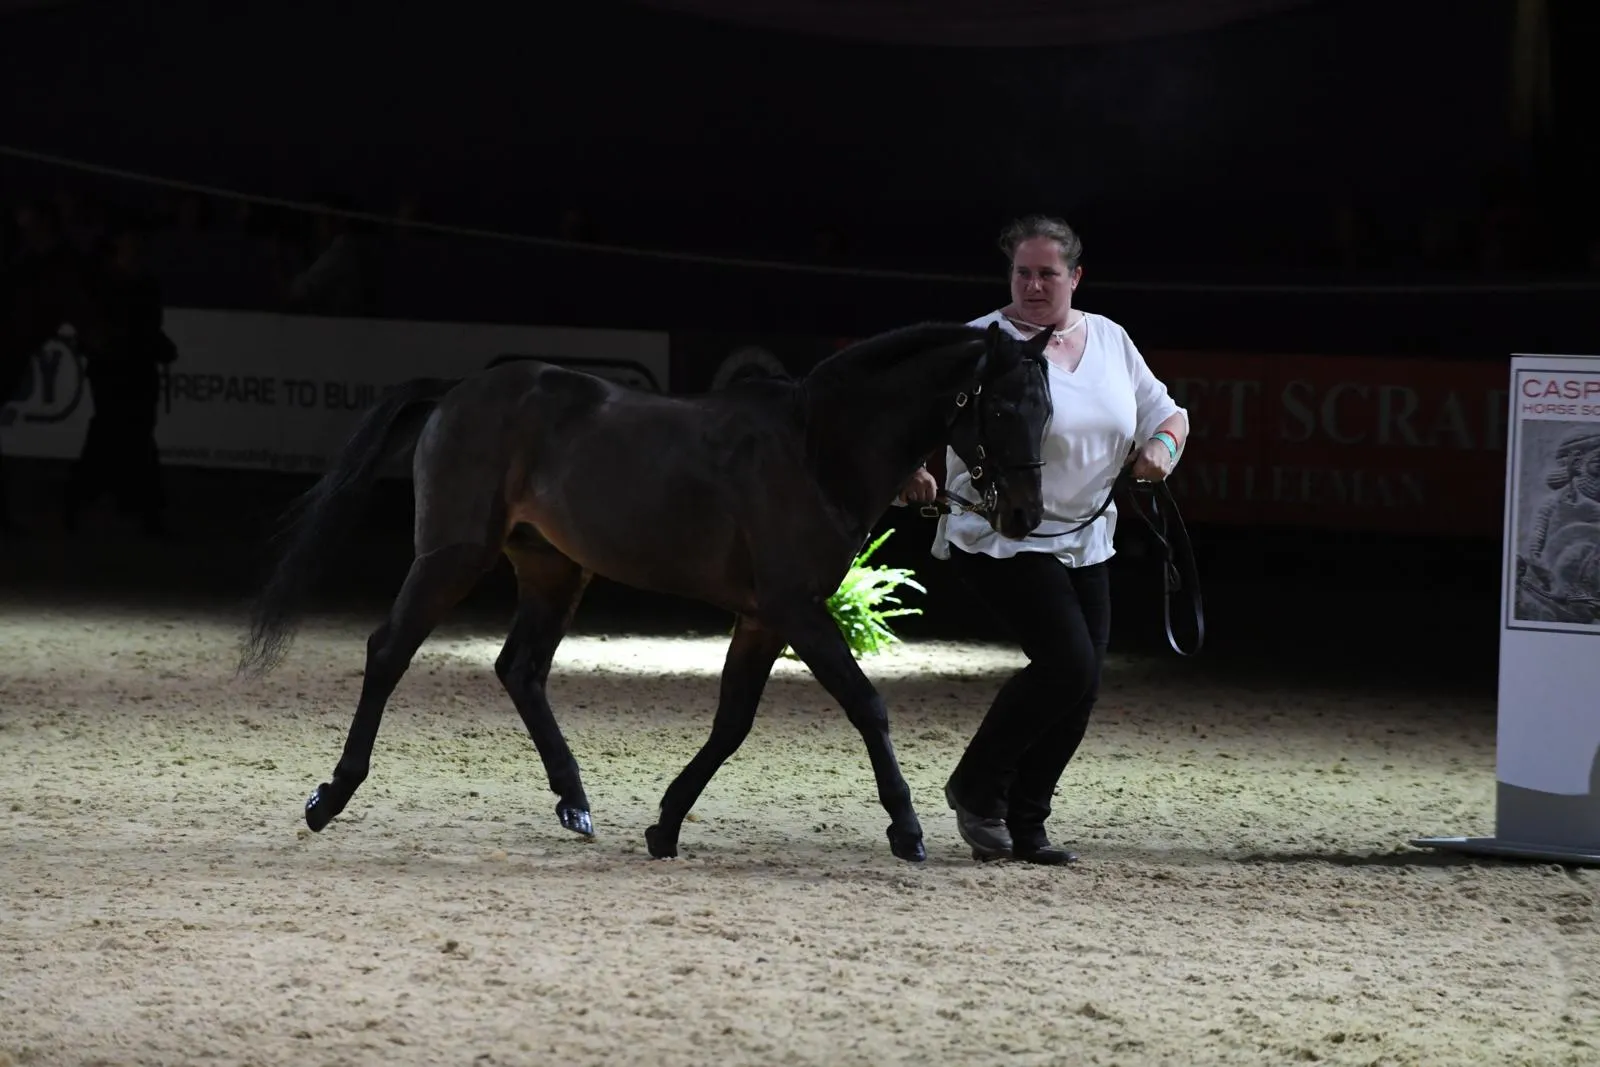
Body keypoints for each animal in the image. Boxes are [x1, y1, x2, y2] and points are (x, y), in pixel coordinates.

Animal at [237, 319, 1057, 863]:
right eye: (1001, 406)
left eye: (1047, 409)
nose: (1026, 516)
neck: (814, 448)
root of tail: (460, 391)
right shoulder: (796, 609)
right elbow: (867, 704)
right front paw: (906, 830)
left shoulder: (763, 619)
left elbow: (732, 722)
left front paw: (665, 824)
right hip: (453, 556)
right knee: (389, 651)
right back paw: (329, 798)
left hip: (553, 569)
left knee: (520, 669)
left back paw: (574, 803)